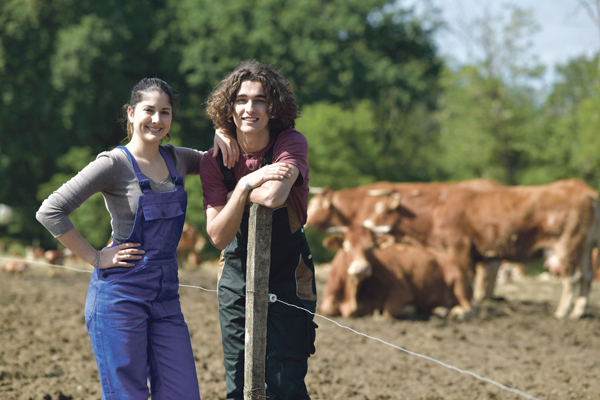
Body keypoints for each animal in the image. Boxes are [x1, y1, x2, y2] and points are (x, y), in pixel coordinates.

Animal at [318, 227, 474, 320]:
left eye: (371, 247)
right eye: (346, 246)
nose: (362, 268)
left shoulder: (403, 291)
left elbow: (389, 309)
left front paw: (411, 309)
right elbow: (327, 309)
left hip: (459, 282)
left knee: (470, 309)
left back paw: (456, 312)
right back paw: (440, 310)